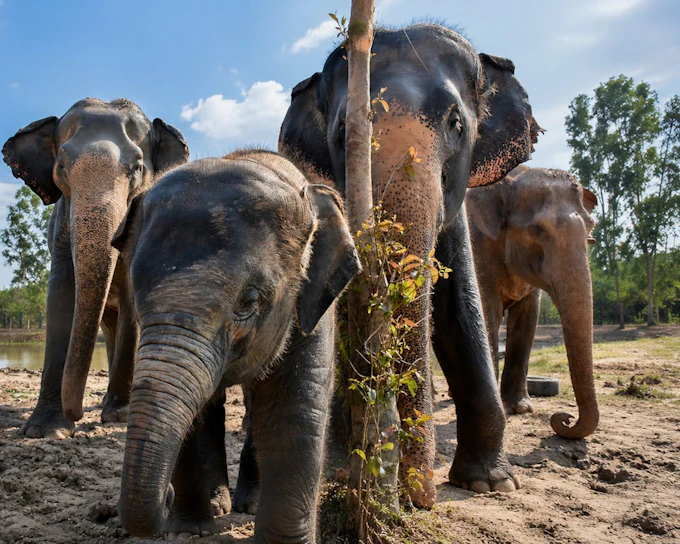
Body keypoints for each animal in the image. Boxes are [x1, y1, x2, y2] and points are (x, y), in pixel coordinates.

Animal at [1, 98, 189, 438]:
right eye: (62, 167)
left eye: (137, 168)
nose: (74, 414)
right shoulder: (61, 227)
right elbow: (60, 294)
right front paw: (44, 429)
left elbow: (130, 297)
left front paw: (118, 416)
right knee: (108, 326)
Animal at [111, 150, 360, 542]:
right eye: (136, 295)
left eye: (249, 303)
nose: (164, 500)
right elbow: (191, 413)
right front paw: (187, 531)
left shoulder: (312, 308)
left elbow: (295, 409)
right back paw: (218, 506)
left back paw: (249, 505)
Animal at [278, 23, 541, 506]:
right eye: (343, 132)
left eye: (456, 123)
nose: (417, 496)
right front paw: (345, 470)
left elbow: (461, 313)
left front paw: (491, 483)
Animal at [466, 165, 599, 439]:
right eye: (538, 230)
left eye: (590, 230)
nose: (564, 418)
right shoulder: (478, 245)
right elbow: (487, 309)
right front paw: (503, 409)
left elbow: (528, 317)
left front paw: (521, 408)